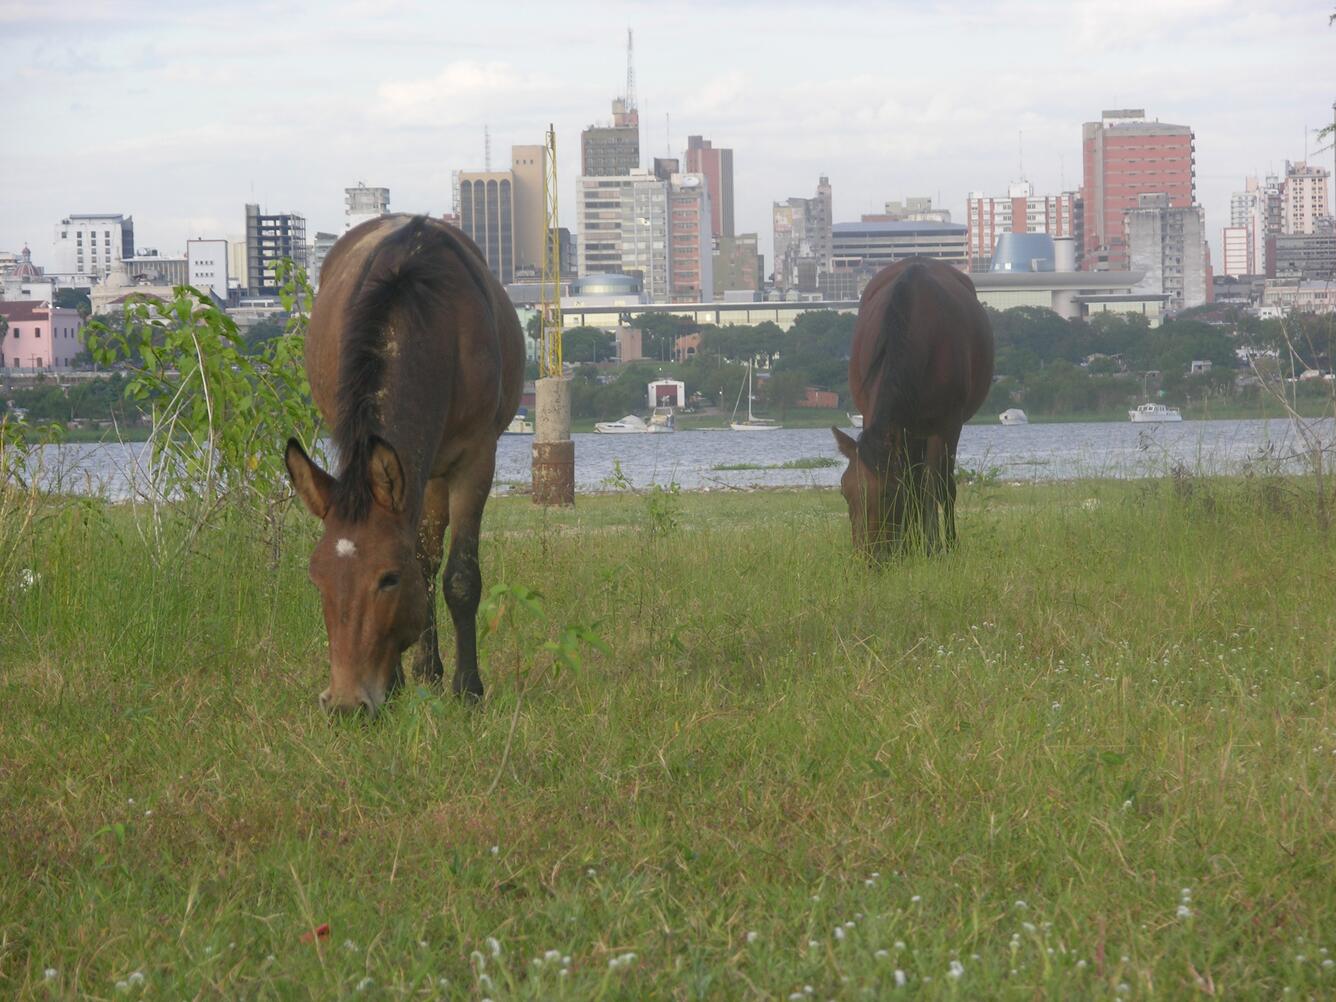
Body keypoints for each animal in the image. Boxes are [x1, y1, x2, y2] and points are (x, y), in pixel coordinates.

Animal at [285, 213, 521, 716]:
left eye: (389, 578)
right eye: (317, 579)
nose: (345, 703)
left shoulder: (476, 458)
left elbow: (461, 577)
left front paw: (468, 687)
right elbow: (425, 562)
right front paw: (395, 680)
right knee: (426, 557)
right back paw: (423, 669)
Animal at [833, 256, 993, 558]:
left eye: (886, 493)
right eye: (845, 492)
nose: (869, 558)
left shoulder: (946, 425)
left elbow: (938, 486)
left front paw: (939, 546)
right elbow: (911, 482)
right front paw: (907, 546)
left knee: (933, 482)